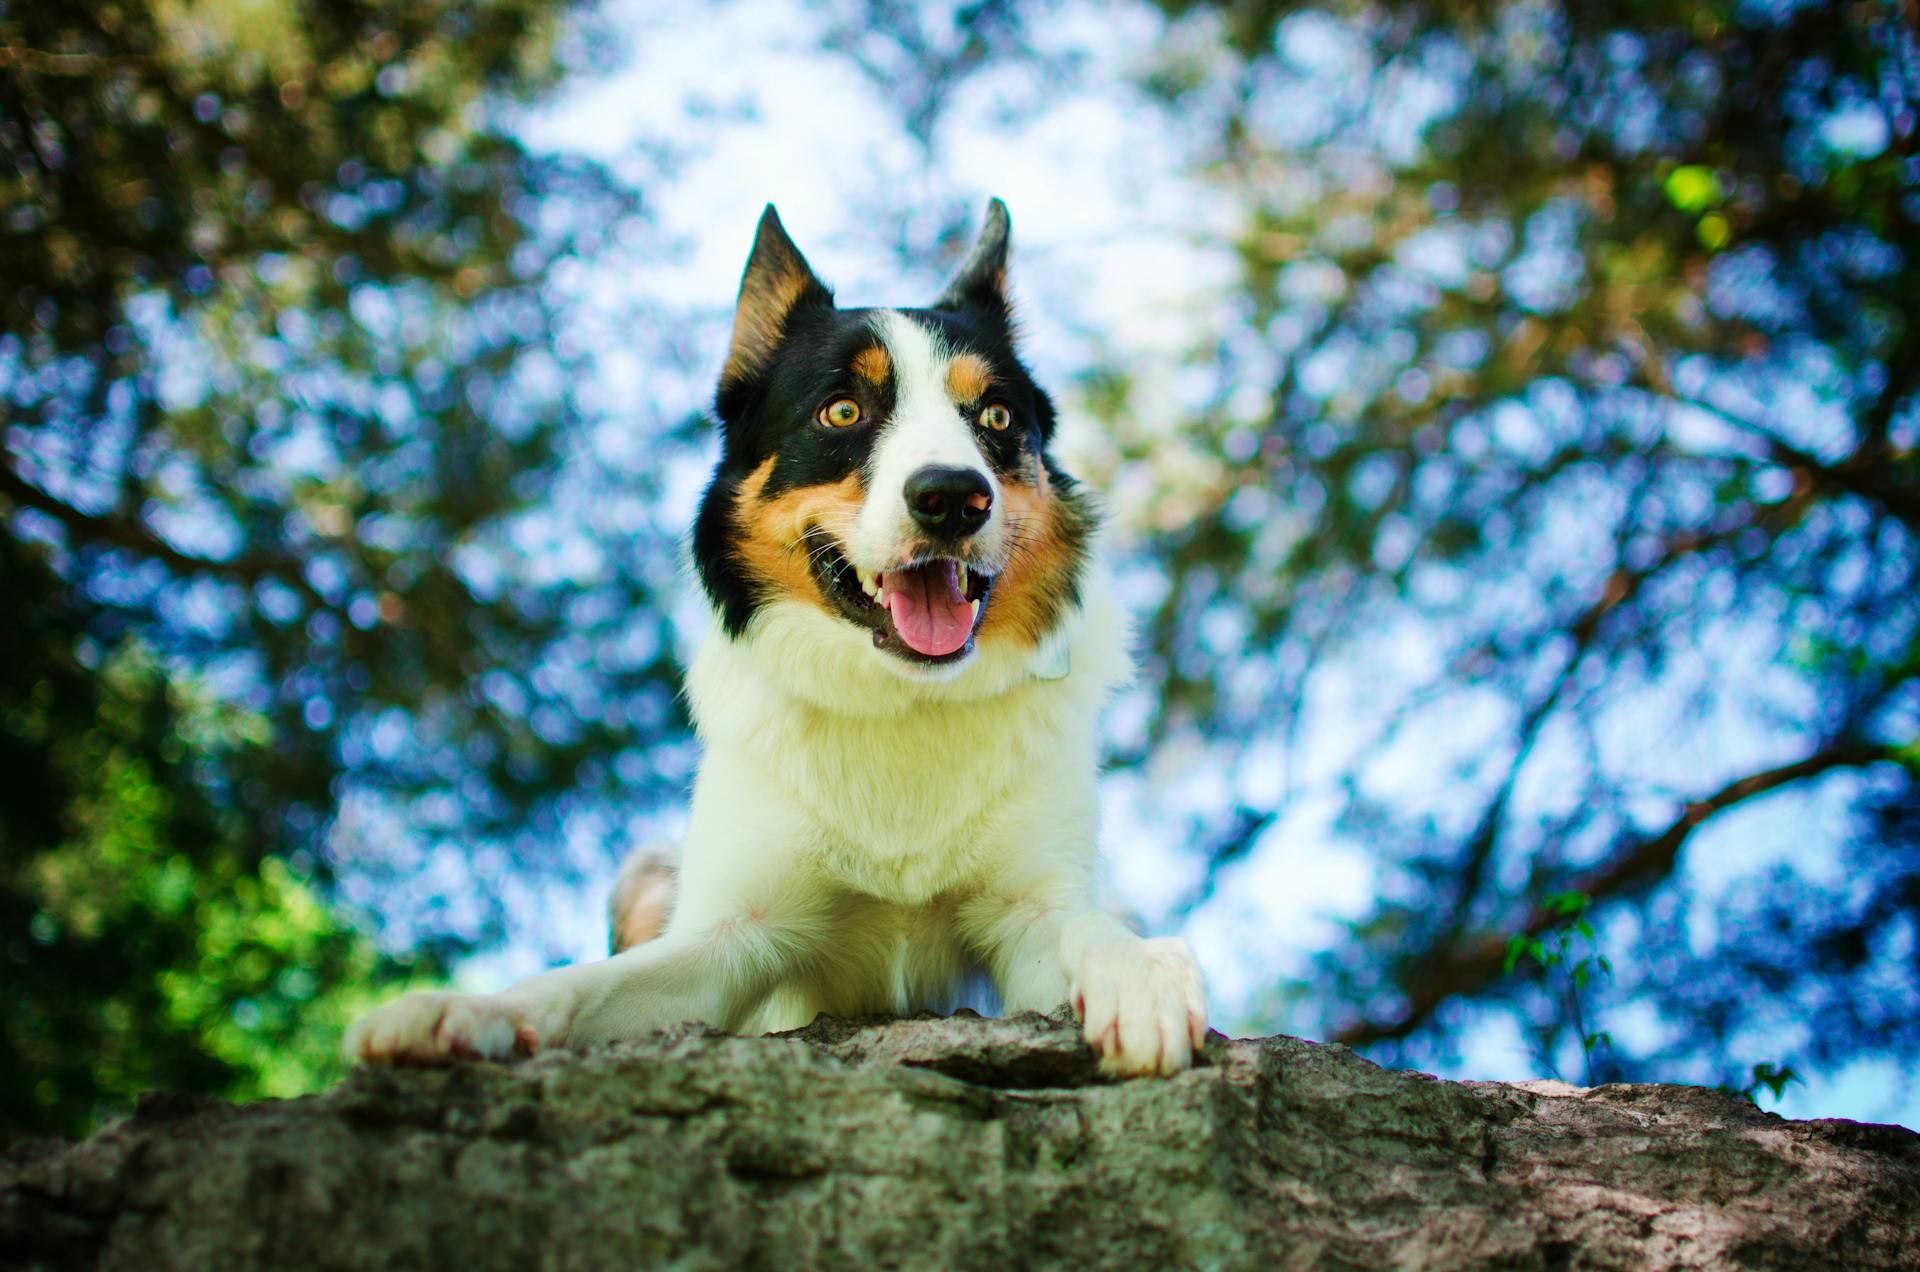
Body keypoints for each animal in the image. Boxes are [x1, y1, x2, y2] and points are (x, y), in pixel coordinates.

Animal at [345, 196, 1205, 1076]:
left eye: (995, 416)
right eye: (843, 411)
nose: (952, 498)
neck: (899, 702)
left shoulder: (1028, 917)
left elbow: (1082, 927)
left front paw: (1141, 973)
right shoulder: (729, 938)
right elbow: (578, 986)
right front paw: (464, 1011)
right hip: (644, 872)